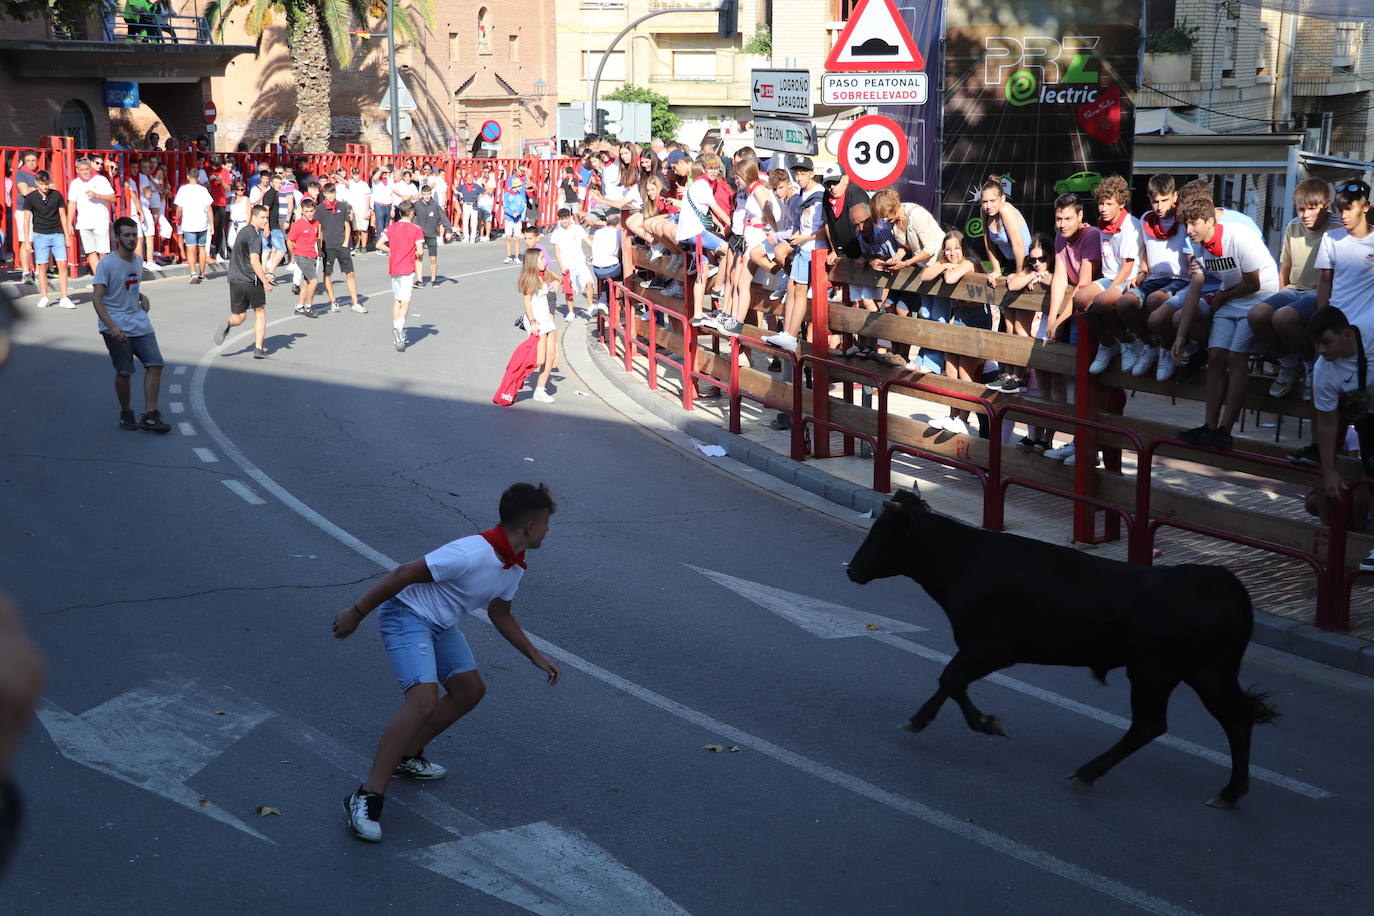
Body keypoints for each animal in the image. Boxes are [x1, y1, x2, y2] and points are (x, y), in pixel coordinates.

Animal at [840, 491, 1280, 807]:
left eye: (881, 534)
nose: (852, 570)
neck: (967, 561)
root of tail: (1228, 587)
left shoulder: (992, 648)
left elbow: (951, 679)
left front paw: (987, 724)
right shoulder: (978, 649)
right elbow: (949, 682)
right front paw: (921, 720)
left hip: (1154, 672)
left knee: (1151, 725)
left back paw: (1087, 773)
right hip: (1208, 672)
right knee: (1236, 720)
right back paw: (1230, 792)